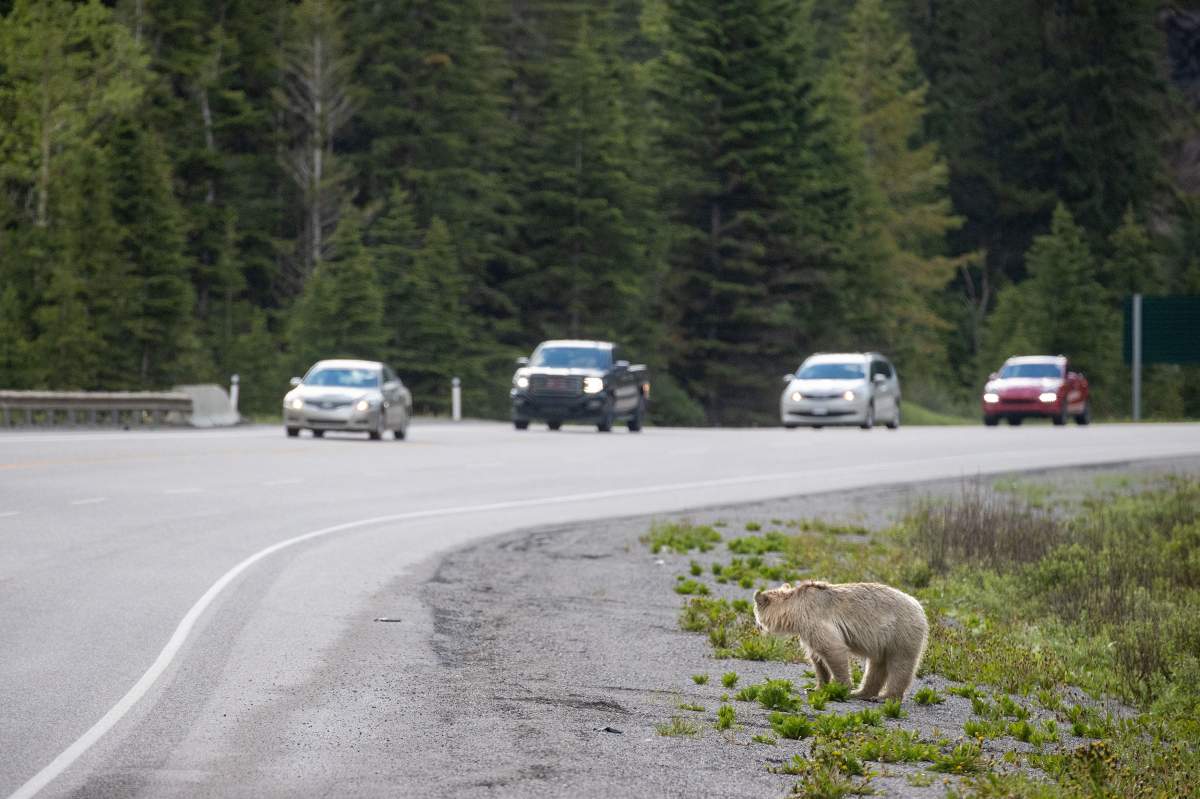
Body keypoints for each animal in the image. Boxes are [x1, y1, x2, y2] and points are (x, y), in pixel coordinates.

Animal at [753, 580, 929, 701]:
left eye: (755, 612)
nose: (758, 627)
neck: (794, 611)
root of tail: (919, 607)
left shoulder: (814, 618)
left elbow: (832, 649)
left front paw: (841, 688)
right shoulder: (806, 631)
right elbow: (817, 659)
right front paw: (815, 687)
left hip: (901, 633)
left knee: (901, 664)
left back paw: (885, 697)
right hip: (884, 642)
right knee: (876, 666)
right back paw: (861, 693)